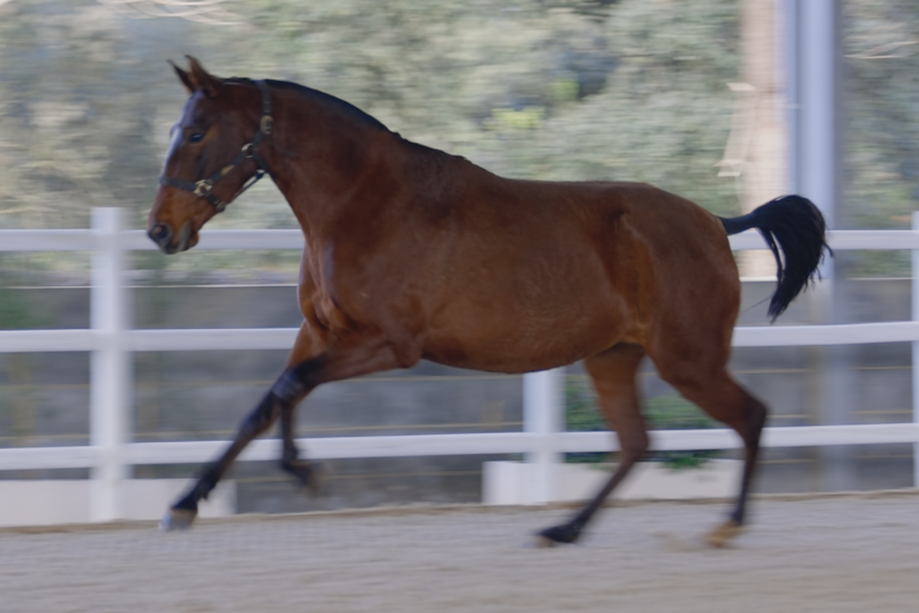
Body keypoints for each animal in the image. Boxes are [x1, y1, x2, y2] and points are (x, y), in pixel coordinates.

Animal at [147, 57, 832, 544]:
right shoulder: (319, 333)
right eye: (177, 129)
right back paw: (565, 528)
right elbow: (268, 403)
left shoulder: (388, 345)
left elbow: (289, 389)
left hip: (688, 360)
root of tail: (717, 222)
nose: (160, 231)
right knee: (638, 442)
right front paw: (189, 502)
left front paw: (299, 472)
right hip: (614, 357)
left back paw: (728, 526)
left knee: (750, 417)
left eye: (197, 132)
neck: (364, 205)